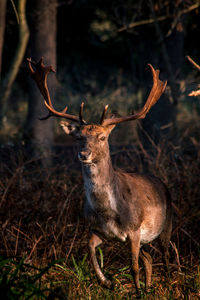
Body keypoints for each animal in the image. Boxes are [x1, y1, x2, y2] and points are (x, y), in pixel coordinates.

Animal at [27, 57, 173, 292]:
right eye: (78, 137)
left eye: (102, 137)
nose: (84, 154)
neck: (108, 211)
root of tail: (161, 182)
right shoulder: (98, 230)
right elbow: (89, 248)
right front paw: (106, 281)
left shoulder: (134, 229)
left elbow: (134, 268)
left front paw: (136, 291)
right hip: (145, 240)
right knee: (149, 259)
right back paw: (150, 287)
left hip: (167, 223)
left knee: (166, 256)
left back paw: (167, 284)